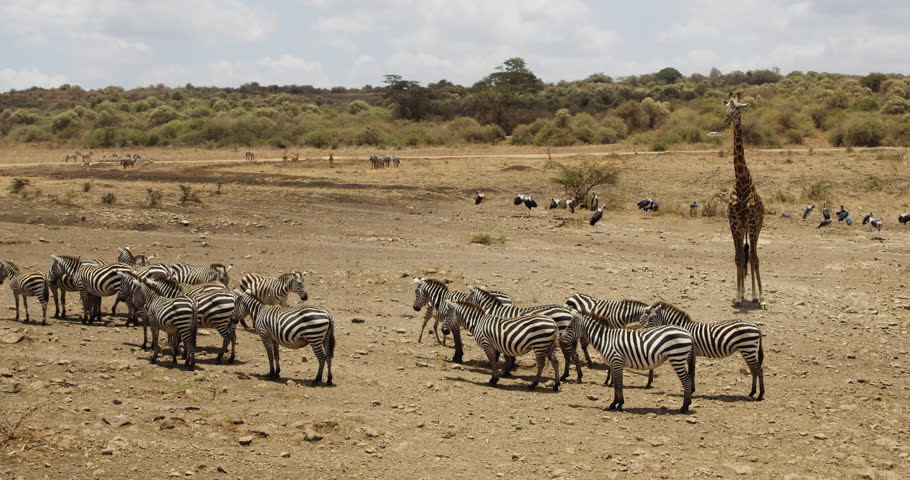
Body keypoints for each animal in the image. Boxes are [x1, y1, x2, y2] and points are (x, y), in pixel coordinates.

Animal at [564, 310, 693, 413]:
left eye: (569, 327)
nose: (560, 337)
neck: (605, 340)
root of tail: (688, 333)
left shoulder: (616, 361)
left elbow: (619, 384)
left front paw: (619, 404)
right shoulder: (613, 364)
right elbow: (616, 384)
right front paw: (614, 403)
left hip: (676, 358)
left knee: (686, 380)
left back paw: (684, 407)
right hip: (678, 358)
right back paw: (686, 405)